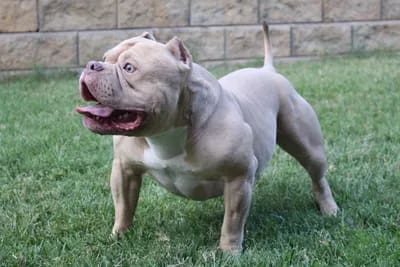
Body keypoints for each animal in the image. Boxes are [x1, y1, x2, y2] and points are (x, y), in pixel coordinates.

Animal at [76, 24, 338, 254]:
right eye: (104, 57)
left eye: (129, 68)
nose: (92, 65)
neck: (166, 132)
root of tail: (267, 70)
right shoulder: (125, 170)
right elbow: (124, 206)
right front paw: (118, 235)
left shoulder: (237, 177)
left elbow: (232, 221)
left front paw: (229, 252)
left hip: (307, 146)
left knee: (318, 177)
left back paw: (329, 208)